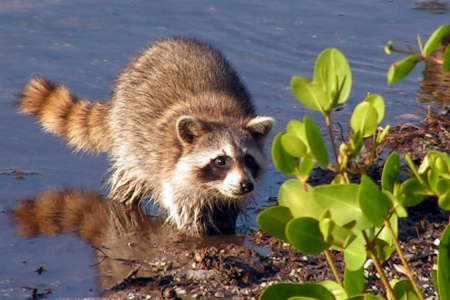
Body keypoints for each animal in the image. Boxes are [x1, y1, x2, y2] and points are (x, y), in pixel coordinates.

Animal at [18, 37, 274, 236]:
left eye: (249, 159)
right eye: (221, 160)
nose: (246, 185)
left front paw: (226, 226)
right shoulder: (171, 175)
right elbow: (186, 212)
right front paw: (197, 233)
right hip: (130, 139)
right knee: (128, 181)